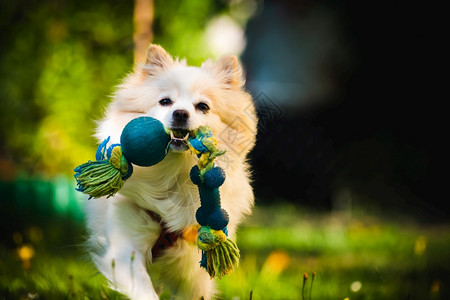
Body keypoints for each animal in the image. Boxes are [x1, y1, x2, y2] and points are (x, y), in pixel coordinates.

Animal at [86, 44, 258, 300]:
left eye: (203, 106)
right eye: (165, 101)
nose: (180, 113)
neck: (174, 175)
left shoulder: (193, 269)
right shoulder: (126, 248)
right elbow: (145, 292)